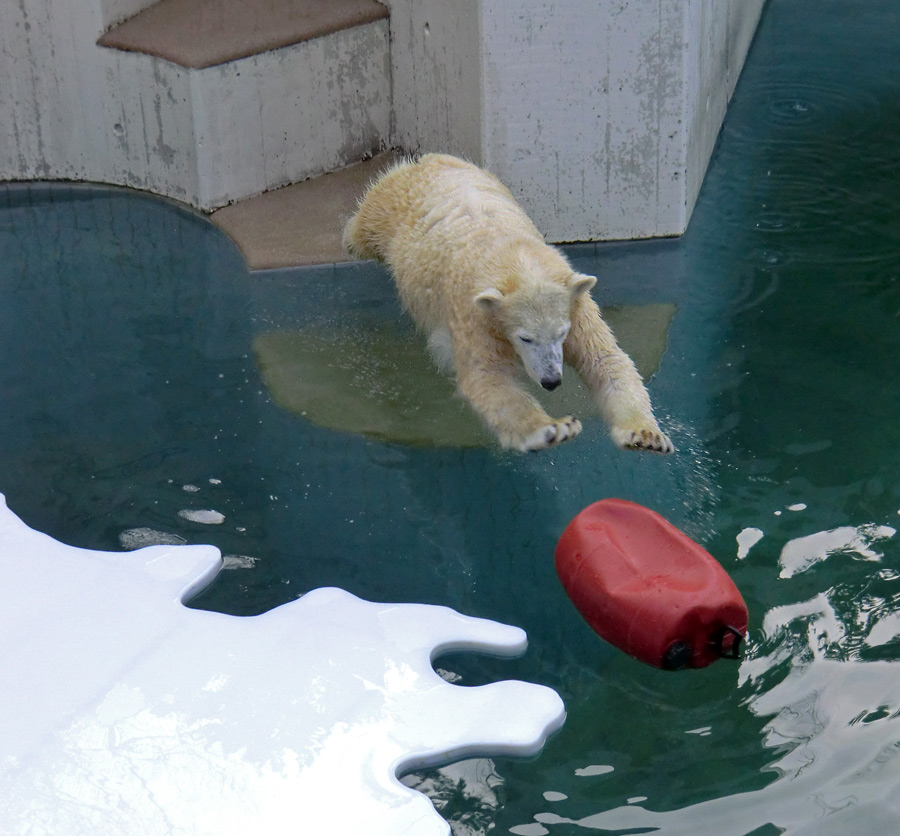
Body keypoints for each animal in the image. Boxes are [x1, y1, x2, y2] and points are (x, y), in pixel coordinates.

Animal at [342, 155, 672, 458]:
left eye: (561, 333)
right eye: (525, 337)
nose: (551, 381)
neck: (510, 251)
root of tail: (431, 159)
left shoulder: (576, 307)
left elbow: (605, 359)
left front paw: (646, 436)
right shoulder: (476, 313)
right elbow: (487, 376)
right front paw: (553, 429)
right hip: (393, 206)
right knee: (367, 228)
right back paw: (348, 237)